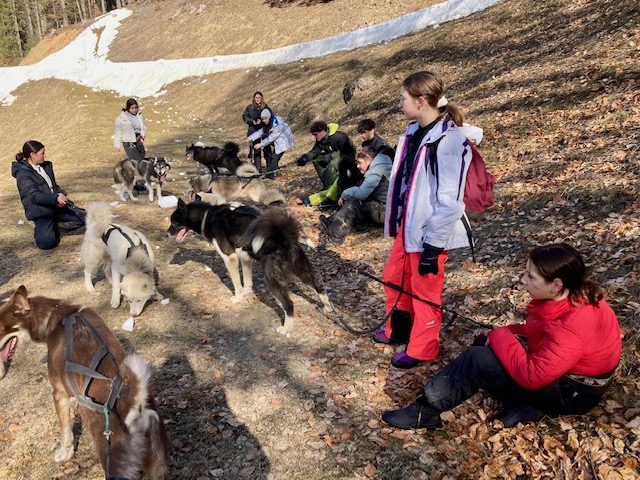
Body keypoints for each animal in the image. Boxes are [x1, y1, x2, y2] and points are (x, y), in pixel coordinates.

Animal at [0, 286, 170, 478]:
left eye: (0, 327)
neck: (54, 316)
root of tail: (135, 407)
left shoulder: (59, 393)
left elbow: (65, 431)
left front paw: (65, 453)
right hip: (158, 466)